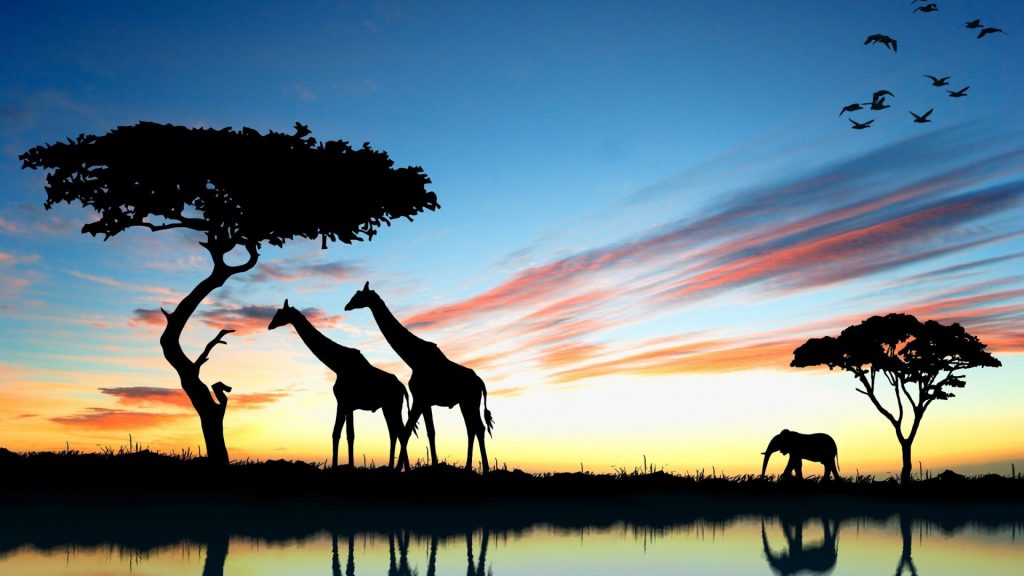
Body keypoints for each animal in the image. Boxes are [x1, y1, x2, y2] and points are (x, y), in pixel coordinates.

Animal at [268, 299, 410, 468]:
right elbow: (336, 433)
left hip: (393, 405)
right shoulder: (341, 403)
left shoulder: (347, 403)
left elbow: (350, 434)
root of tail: (402, 388)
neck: (337, 364)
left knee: (400, 432)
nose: (270, 325)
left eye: (280, 313)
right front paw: (336, 465)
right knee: (395, 433)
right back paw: (393, 467)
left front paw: (350, 466)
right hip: (388, 407)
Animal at [344, 282, 494, 473]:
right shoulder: (425, 401)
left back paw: (485, 469)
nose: (346, 306)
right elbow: (429, 432)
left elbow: (407, 431)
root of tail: (481, 383)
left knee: (478, 428)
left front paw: (399, 469)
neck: (413, 358)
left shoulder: (419, 398)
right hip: (465, 403)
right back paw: (469, 468)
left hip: (470, 401)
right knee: (473, 428)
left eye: (358, 296)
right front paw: (433, 465)